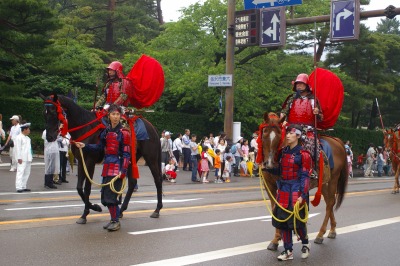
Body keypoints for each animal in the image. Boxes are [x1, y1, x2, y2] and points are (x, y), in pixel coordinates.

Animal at [42, 94, 162, 223]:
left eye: (54, 112)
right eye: (45, 113)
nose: (49, 137)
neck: (85, 127)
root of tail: (152, 127)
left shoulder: (90, 161)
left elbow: (87, 188)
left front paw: (87, 212)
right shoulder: (81, 161)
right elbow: (79, 188)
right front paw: (93, 208)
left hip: (151, 158)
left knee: (157, 180)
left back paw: (157, 209)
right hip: (130, 159)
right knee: (132, 183)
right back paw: (122, 210)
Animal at [260, 111, 346, 248]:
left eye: (279, 134)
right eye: (264, 133)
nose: (269, 163)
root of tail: (337, 141)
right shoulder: (269, 185)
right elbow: (274, 208)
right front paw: (276, 239)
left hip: (333, 179)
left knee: (330, 203)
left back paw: (320, 234)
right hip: (324, 182)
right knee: (329, 202)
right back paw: (332, 230)